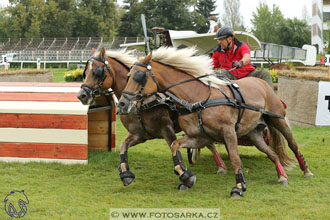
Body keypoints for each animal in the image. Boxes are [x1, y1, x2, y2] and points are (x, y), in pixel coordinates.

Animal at [77, 47, 227, 186]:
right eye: (85, 72)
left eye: (97, 72)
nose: (81, 95)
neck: (141, 103)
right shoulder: (139, 134)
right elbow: (122, 146)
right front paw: (125, 174)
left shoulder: (167, 129)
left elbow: (174, 148)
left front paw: (185, 175)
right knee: (208, 142)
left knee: (209, 143)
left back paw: (221, 166)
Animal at [117, 46, 314, 198]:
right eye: (127, 76)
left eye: (139, 76)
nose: (122, 104)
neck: (198, 97)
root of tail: (264, 84)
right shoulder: (197, 136)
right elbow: (175, 146)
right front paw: (185, 177)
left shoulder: (228, 132)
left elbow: (235, 159)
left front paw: (239, 187)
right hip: (254, 133)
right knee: (272, 154)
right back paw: (282, 177)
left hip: (278, 120)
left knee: (293, 145)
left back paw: (306, 170)